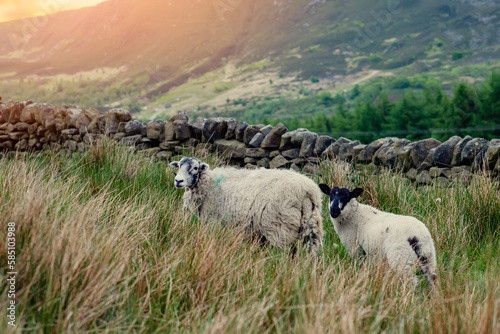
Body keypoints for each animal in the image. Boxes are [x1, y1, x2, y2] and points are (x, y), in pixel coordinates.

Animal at [170, 157, 322, 256]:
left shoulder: (213, 222)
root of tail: (307, 190)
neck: (208, 184)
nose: (178, 181)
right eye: (178, 166)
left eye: (195, 168)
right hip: (312, 225)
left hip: (279, 228)